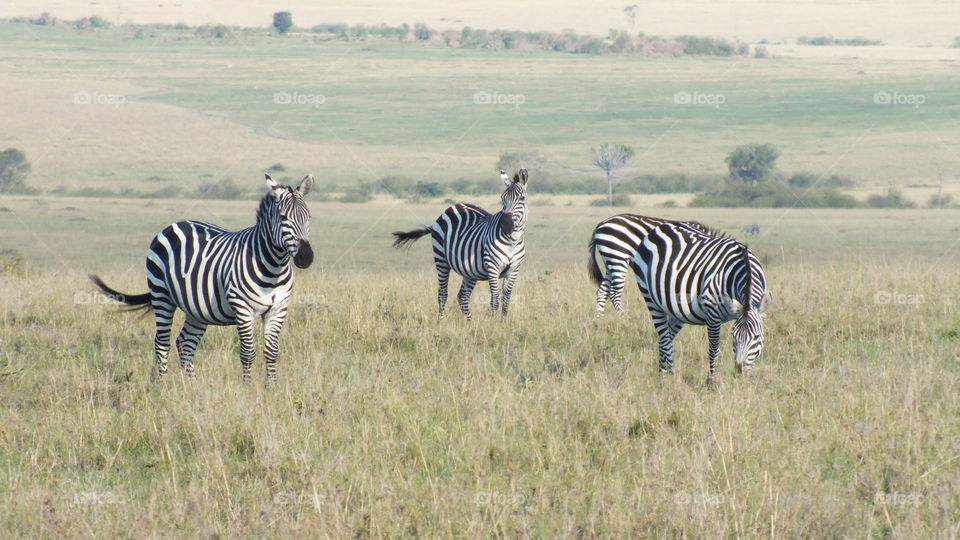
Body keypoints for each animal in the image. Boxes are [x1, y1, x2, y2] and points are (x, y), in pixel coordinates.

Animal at [90, 174, 314, 382]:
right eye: (284, 218)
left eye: (309, 217)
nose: (306, 257)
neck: (273, 268)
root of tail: (176, 224)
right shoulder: (242, 308)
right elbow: (248, 353)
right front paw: (248, 387)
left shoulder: (278, 309)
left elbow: (272, 353)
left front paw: (271, 387)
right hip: (162, 295)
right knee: (162, 343)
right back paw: (161, 385)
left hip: (197, 309)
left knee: (185, 343)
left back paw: (192, 386)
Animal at [392, 169, 528, 319]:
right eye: (502, 198)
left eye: (522, 199)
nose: (505, 225)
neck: (512, 241)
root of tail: (454, 206)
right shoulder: (493, 268)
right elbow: (495, 301)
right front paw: (493, 323)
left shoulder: (513, 270)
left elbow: (506, 301)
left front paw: (502, 322)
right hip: (441, 259)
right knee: (443, 294)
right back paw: (441, 321)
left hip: (470, 270)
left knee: (463, 296)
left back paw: (469, 322)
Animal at [632, 221, 772, 384]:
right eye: (733, 335)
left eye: (757, 336)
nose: (739, 370)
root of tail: (660, 227)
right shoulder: (713, 313)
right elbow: (714, 348)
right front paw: (711, 381)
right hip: (651, 299)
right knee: (665, 338)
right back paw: (668, 378)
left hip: (676, 311)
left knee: (665, 337)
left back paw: (663, 373)